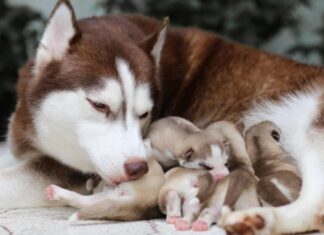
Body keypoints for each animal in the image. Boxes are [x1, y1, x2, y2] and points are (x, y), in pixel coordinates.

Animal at [1, 0, 324, 234]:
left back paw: (258, 218)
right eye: (99, 105)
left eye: (144, 113)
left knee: (316, 207)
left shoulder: (68, 170)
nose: (137, 169)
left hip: (310, 126)